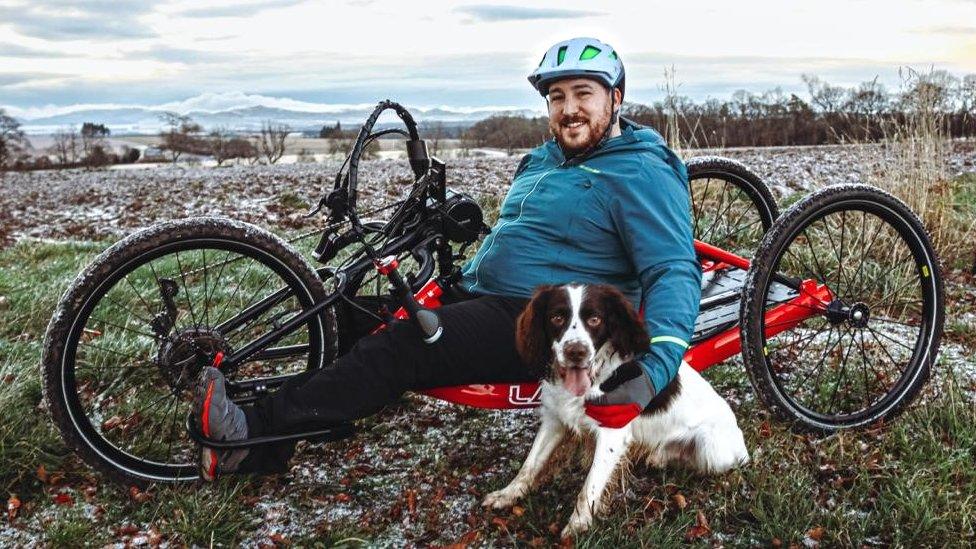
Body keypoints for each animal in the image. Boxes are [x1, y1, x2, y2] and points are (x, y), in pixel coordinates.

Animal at [484, 284, 752, 536]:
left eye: (595, 319)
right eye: (557, 318)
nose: (576, 352)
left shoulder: (613, 432)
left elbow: (590, 486)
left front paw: (577, 526)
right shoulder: (554, 420)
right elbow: (530, 464)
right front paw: (507, 494)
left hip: (712, 450)